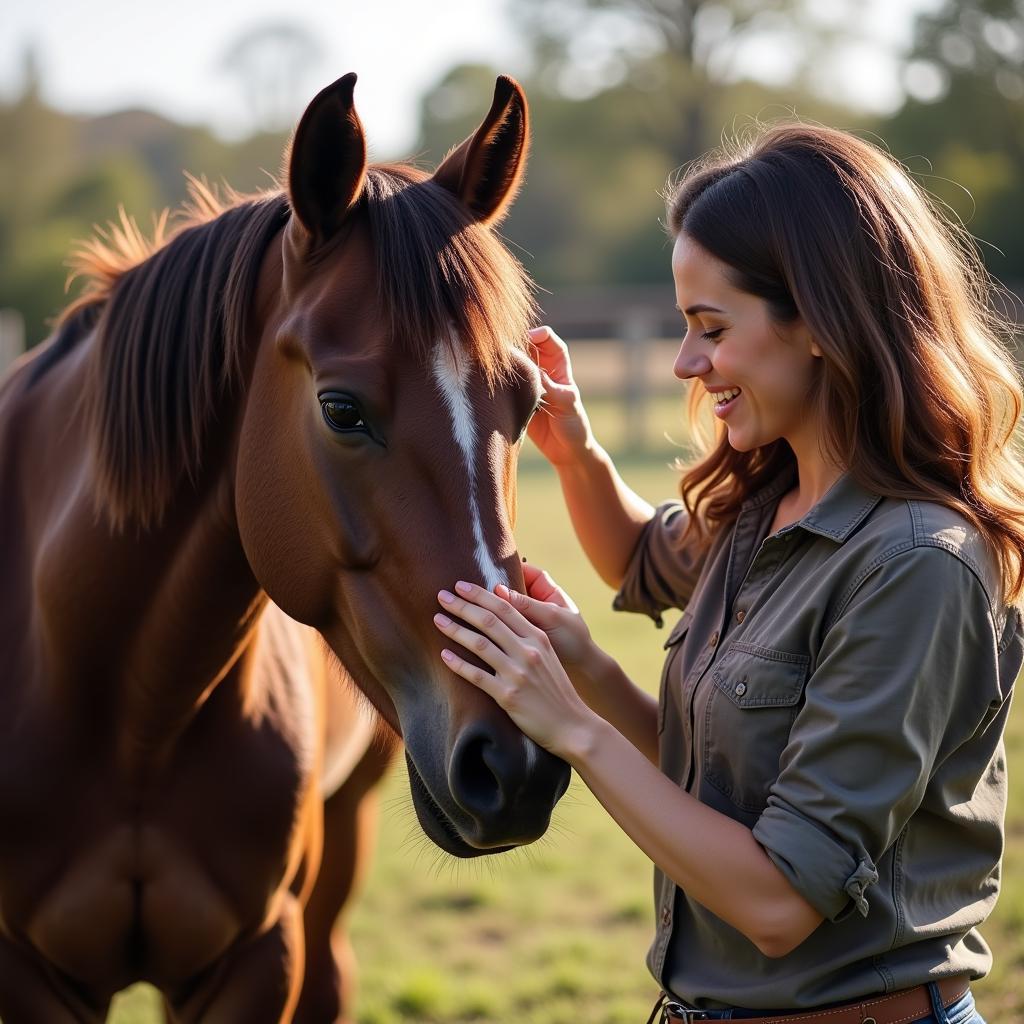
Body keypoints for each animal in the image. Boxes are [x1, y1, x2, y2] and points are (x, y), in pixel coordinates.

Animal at [0, 74, 569, 1024]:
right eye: (341, 410)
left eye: (526, 402)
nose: (515, 759)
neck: (128, 715)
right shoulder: (31, 973)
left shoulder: (258, 956)